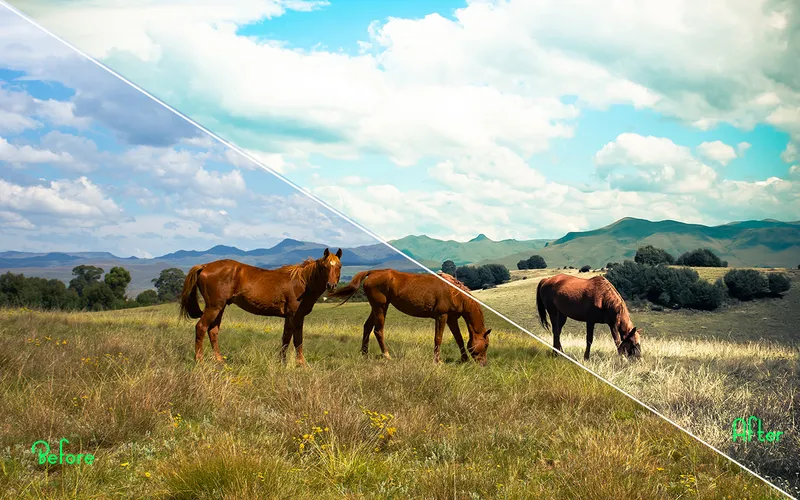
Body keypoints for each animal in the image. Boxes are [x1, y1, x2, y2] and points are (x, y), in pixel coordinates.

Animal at [179, 248, 343, 366]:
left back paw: (219, 360)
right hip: (214, 307)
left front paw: (281, 362)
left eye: (339, 266)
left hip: (220, 307)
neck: (303, 281)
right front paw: (301, 363)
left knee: (213, 331)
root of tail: (205, 266)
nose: (331, 285)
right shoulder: (296, 316)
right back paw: (199, 360)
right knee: (201, 327)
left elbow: (286, 338)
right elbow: (298, 339)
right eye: (325, 266)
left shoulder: (289, 317)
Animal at [328, 270, 492, 365]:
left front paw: (464, 359)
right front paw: (437, 361)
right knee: (378, 330)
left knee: (367, 327)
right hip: (381, 307)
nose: (483, 364)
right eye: (486, 345)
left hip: (376, 308)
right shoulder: (442, 316)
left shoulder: (452, 319)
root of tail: (373, 272)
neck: (455, 292)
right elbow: (438, 339)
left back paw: (364, 354)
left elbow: (459, 339)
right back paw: (386, 355)